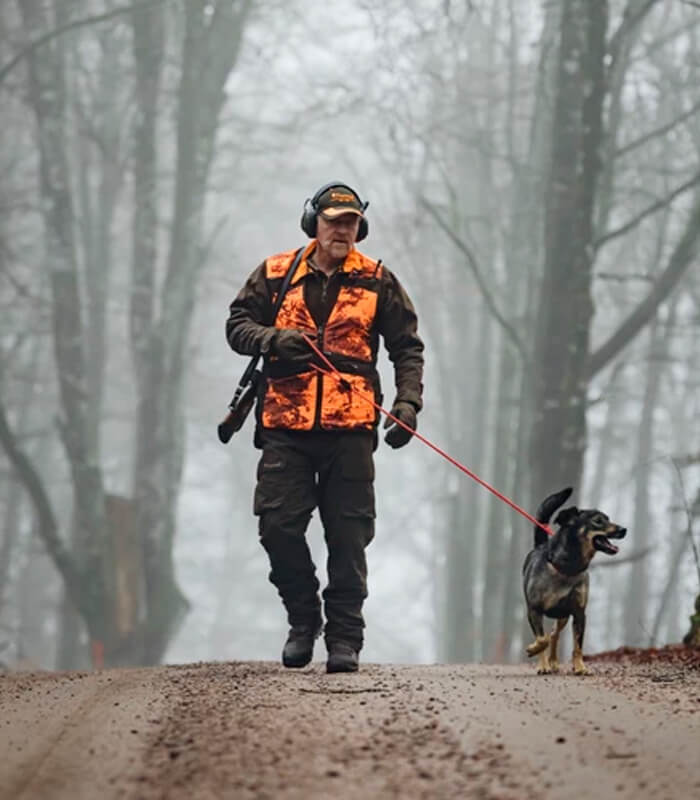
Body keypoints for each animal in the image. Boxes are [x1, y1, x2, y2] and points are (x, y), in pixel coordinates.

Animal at [524, 488, 628, 676]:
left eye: (608, 518)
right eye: (597, 521)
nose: (624, 530)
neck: (568, 568)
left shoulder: (579, 613)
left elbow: (577, 645)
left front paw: (580, 666)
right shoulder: (534, 610)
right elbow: (541, 639)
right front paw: (537, 656)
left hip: (563, 616)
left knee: (554, 634)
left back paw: (554, 662)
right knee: (548, 636)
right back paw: (546, 663)